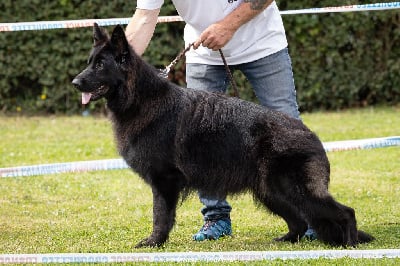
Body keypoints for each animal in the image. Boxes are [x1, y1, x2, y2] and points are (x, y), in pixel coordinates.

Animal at [71, 23, 372, 247]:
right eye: (90, 62)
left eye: (100, 66)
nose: (74, 82)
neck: (141, 99)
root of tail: (312, 135)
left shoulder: (164, 182)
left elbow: (160, 216)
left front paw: (155, 242)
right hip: (273, 192)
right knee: (298, 220)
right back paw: (289, 240)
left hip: (294, 190)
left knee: (345, 212)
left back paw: (351, 244)